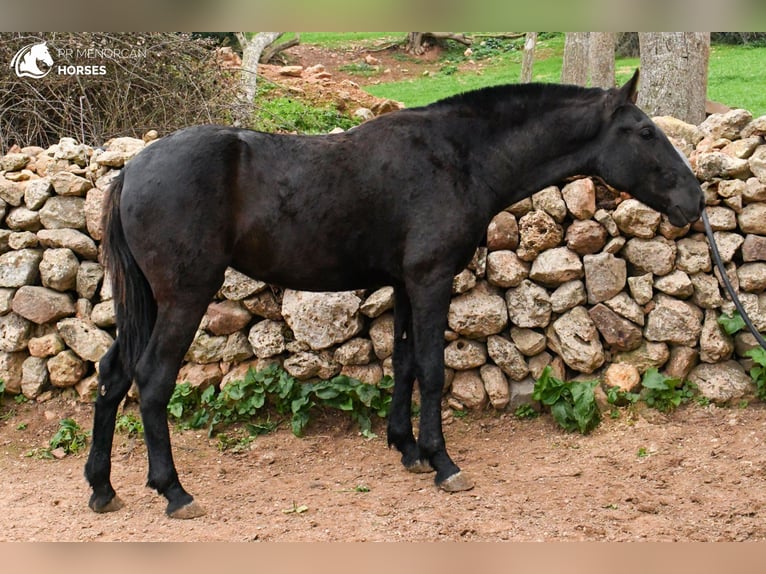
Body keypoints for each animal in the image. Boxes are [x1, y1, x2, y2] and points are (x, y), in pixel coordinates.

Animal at [84, 70, 704, 520]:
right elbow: (431, 367)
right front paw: (443, 461)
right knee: (152, 380)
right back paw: (173, 492)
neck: (458, 156)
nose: (695, 200)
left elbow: (404, 362)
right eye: (645, 132)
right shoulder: (431, 280)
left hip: (147, 303)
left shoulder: (407, 284)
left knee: (113, 373)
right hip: (185, 297)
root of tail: (132, 169)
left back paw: (102, 487)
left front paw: (407, 448)